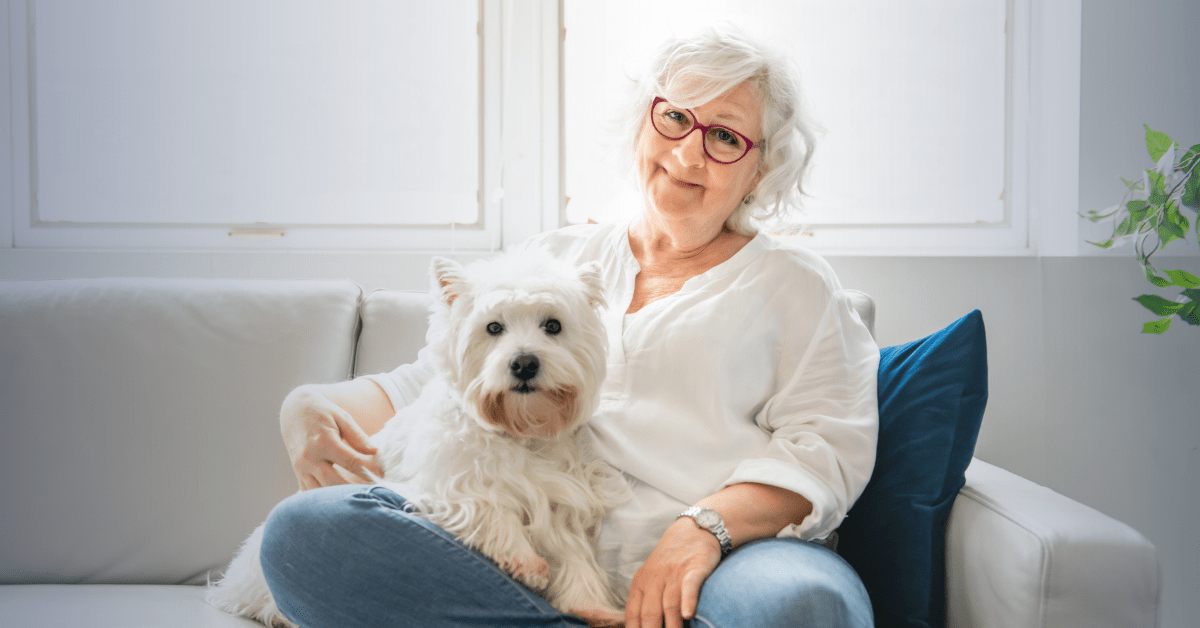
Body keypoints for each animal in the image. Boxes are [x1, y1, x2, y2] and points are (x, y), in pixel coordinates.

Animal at [208, 252, 628, 628]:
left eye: (553, 325)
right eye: (493, 328)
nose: (524, 363)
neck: (519, 430)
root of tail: (229, 587)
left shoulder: (562, 501)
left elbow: (575, 558)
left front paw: (594, 607)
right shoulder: (447, 484)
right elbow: (490, 507)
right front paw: (525, 561)